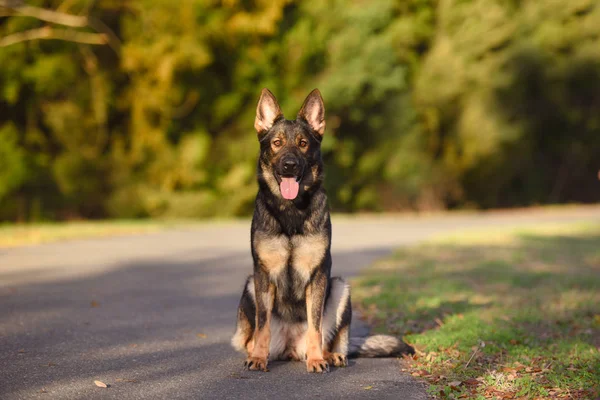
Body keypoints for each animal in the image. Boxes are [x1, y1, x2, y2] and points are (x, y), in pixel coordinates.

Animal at [231, 89, 412, 374]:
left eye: (303, 143)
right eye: (277, 143)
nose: (290, 165)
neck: (291, 212)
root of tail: (290, 348)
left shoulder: (318, 274)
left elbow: (315, 327)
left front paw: (316, 360)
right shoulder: (262, 274)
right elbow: (262, 326)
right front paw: (258, 358)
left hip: (340, 287)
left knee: (331, 338)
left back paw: (330, 355)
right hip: (251, 286)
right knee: (253, 335)